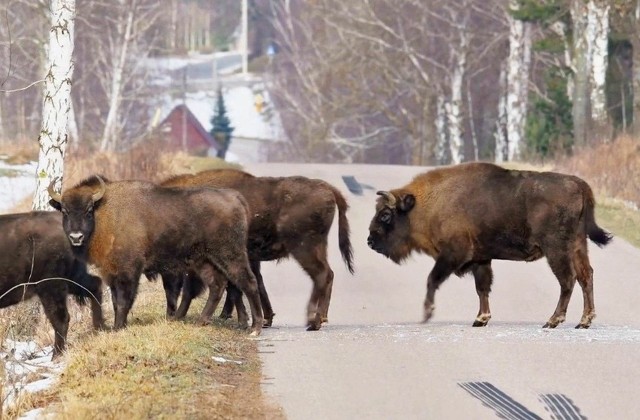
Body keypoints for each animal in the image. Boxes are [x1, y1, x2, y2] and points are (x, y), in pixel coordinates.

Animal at [0, 212, 104, 360]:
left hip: (50, 287)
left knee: (61, 318)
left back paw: (56, 355)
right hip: (71, 279)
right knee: (95, 284)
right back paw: (98, 328)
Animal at [47, 175, 262, 334]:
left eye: (89, 210)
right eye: (64, 211)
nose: (76, 236)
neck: (106, 213)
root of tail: (236, 198)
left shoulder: (129, 272)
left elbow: (124, 301)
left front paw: (118, 328)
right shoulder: (111, 273)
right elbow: (116, 302)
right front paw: (119, 326)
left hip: (230, 255)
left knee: (248, 282)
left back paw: (255, 328)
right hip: (203, 260)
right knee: (217, 285)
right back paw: (202, 321)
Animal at [158, 168, 352, 332]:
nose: (169, 313)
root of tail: (327, 188)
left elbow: (204, 289)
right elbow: (248, 286)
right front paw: (262, 319)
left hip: (304, 248)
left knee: (321, 275)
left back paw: (313, 321)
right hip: (318, 247)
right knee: (328, 274)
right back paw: (321, 318)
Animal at [368, 162, 612, 330]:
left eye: (386, 215)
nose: (370, 241)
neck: (427, 203)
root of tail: (579, 185)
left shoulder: (453, 254)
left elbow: (433, 279)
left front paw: (428, 314)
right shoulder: (481, 258)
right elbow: (482, 288)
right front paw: (480, 319)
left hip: (556, 249)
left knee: (568, 279)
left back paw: (553, 320)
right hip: (578, 245)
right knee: (585, 276)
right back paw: (584, 321)